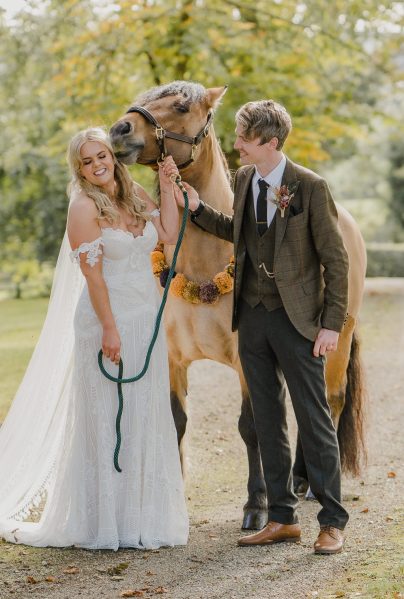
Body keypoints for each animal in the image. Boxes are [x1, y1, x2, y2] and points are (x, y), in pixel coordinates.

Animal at [109, 81, 368, 528]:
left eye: (182, 105)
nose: (119, 130)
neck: (201, 267)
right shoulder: (171, 359)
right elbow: (177, 422)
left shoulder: (247, 360)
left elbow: (252, 427)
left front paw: (256, 506)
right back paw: (300, 480)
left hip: (337, 338)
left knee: (330, 401)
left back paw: (312, 486)